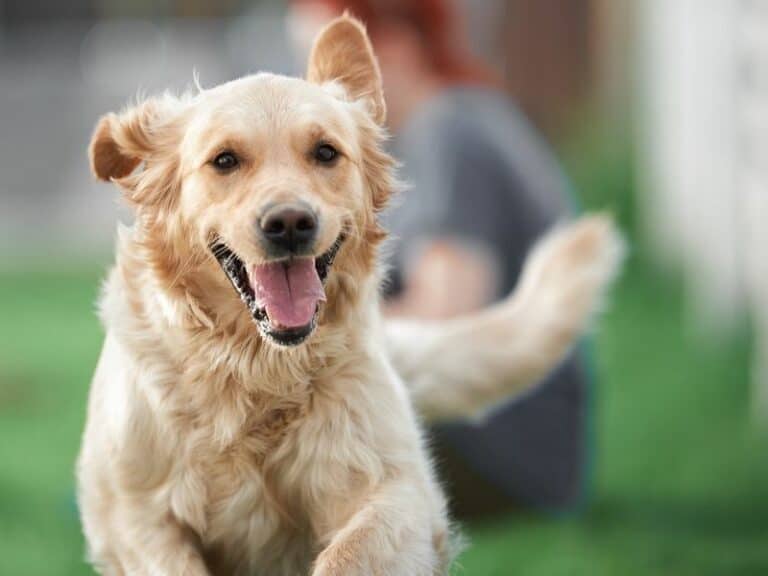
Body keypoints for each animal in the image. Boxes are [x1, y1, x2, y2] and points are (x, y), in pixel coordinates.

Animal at [75, 14, 620, 576]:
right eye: (224, 160)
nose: (290, 223)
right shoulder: (135, 518)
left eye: (325, 152)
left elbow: (348, 555)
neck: (255, 369)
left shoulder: (396, 491)